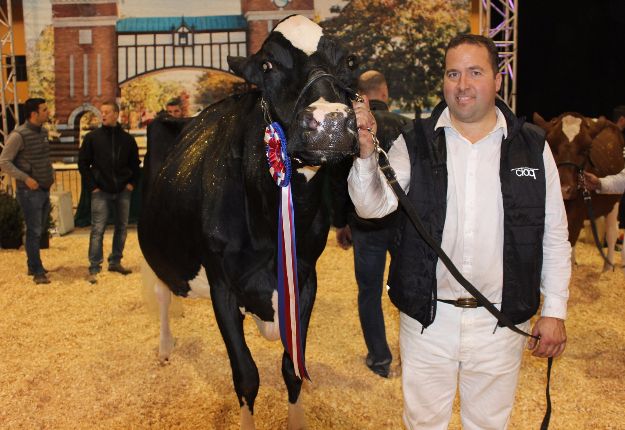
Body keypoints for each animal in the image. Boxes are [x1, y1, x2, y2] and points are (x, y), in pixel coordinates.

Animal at [139, 15, 358, 428]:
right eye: (267, 65)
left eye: (349, 62)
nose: (330, 122)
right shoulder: (222, 285)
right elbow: (246, 377)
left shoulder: (305, 277)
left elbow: (292, 368)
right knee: (160, 292)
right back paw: (164, 346)